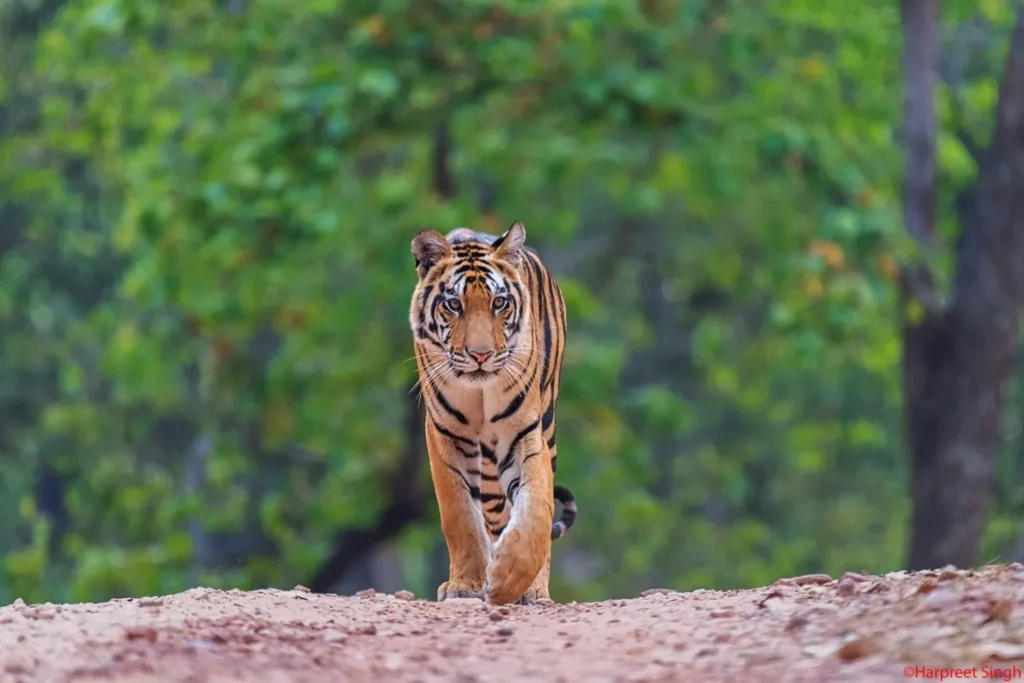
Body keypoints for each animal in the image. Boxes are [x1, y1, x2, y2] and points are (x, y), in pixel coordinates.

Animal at [408, 221, 577, 605]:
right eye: (453, 304)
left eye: (499, 302)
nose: (481, 355)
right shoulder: (445, 434)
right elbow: (459, 515)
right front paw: (465, 584)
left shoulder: (524, 433)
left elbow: (536, 507)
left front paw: (511, 579)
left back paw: (534, 590)